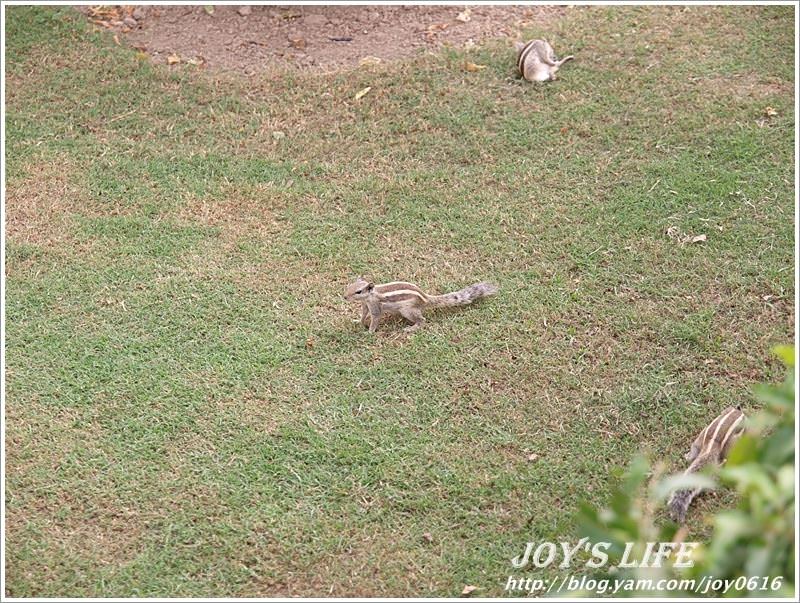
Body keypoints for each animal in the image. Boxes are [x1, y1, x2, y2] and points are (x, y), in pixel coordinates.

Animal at [342, 280, 496, 336]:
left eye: (358, 291)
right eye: (349, 286)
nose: (344, 297)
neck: (371, 295)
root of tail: (425, 298)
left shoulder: (375, 307)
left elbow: (375, 319)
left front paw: (369, 332)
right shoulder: (365, 305)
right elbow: (363, 314)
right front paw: (358, 321)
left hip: (407, 311)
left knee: (423, 320)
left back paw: (411, 328)